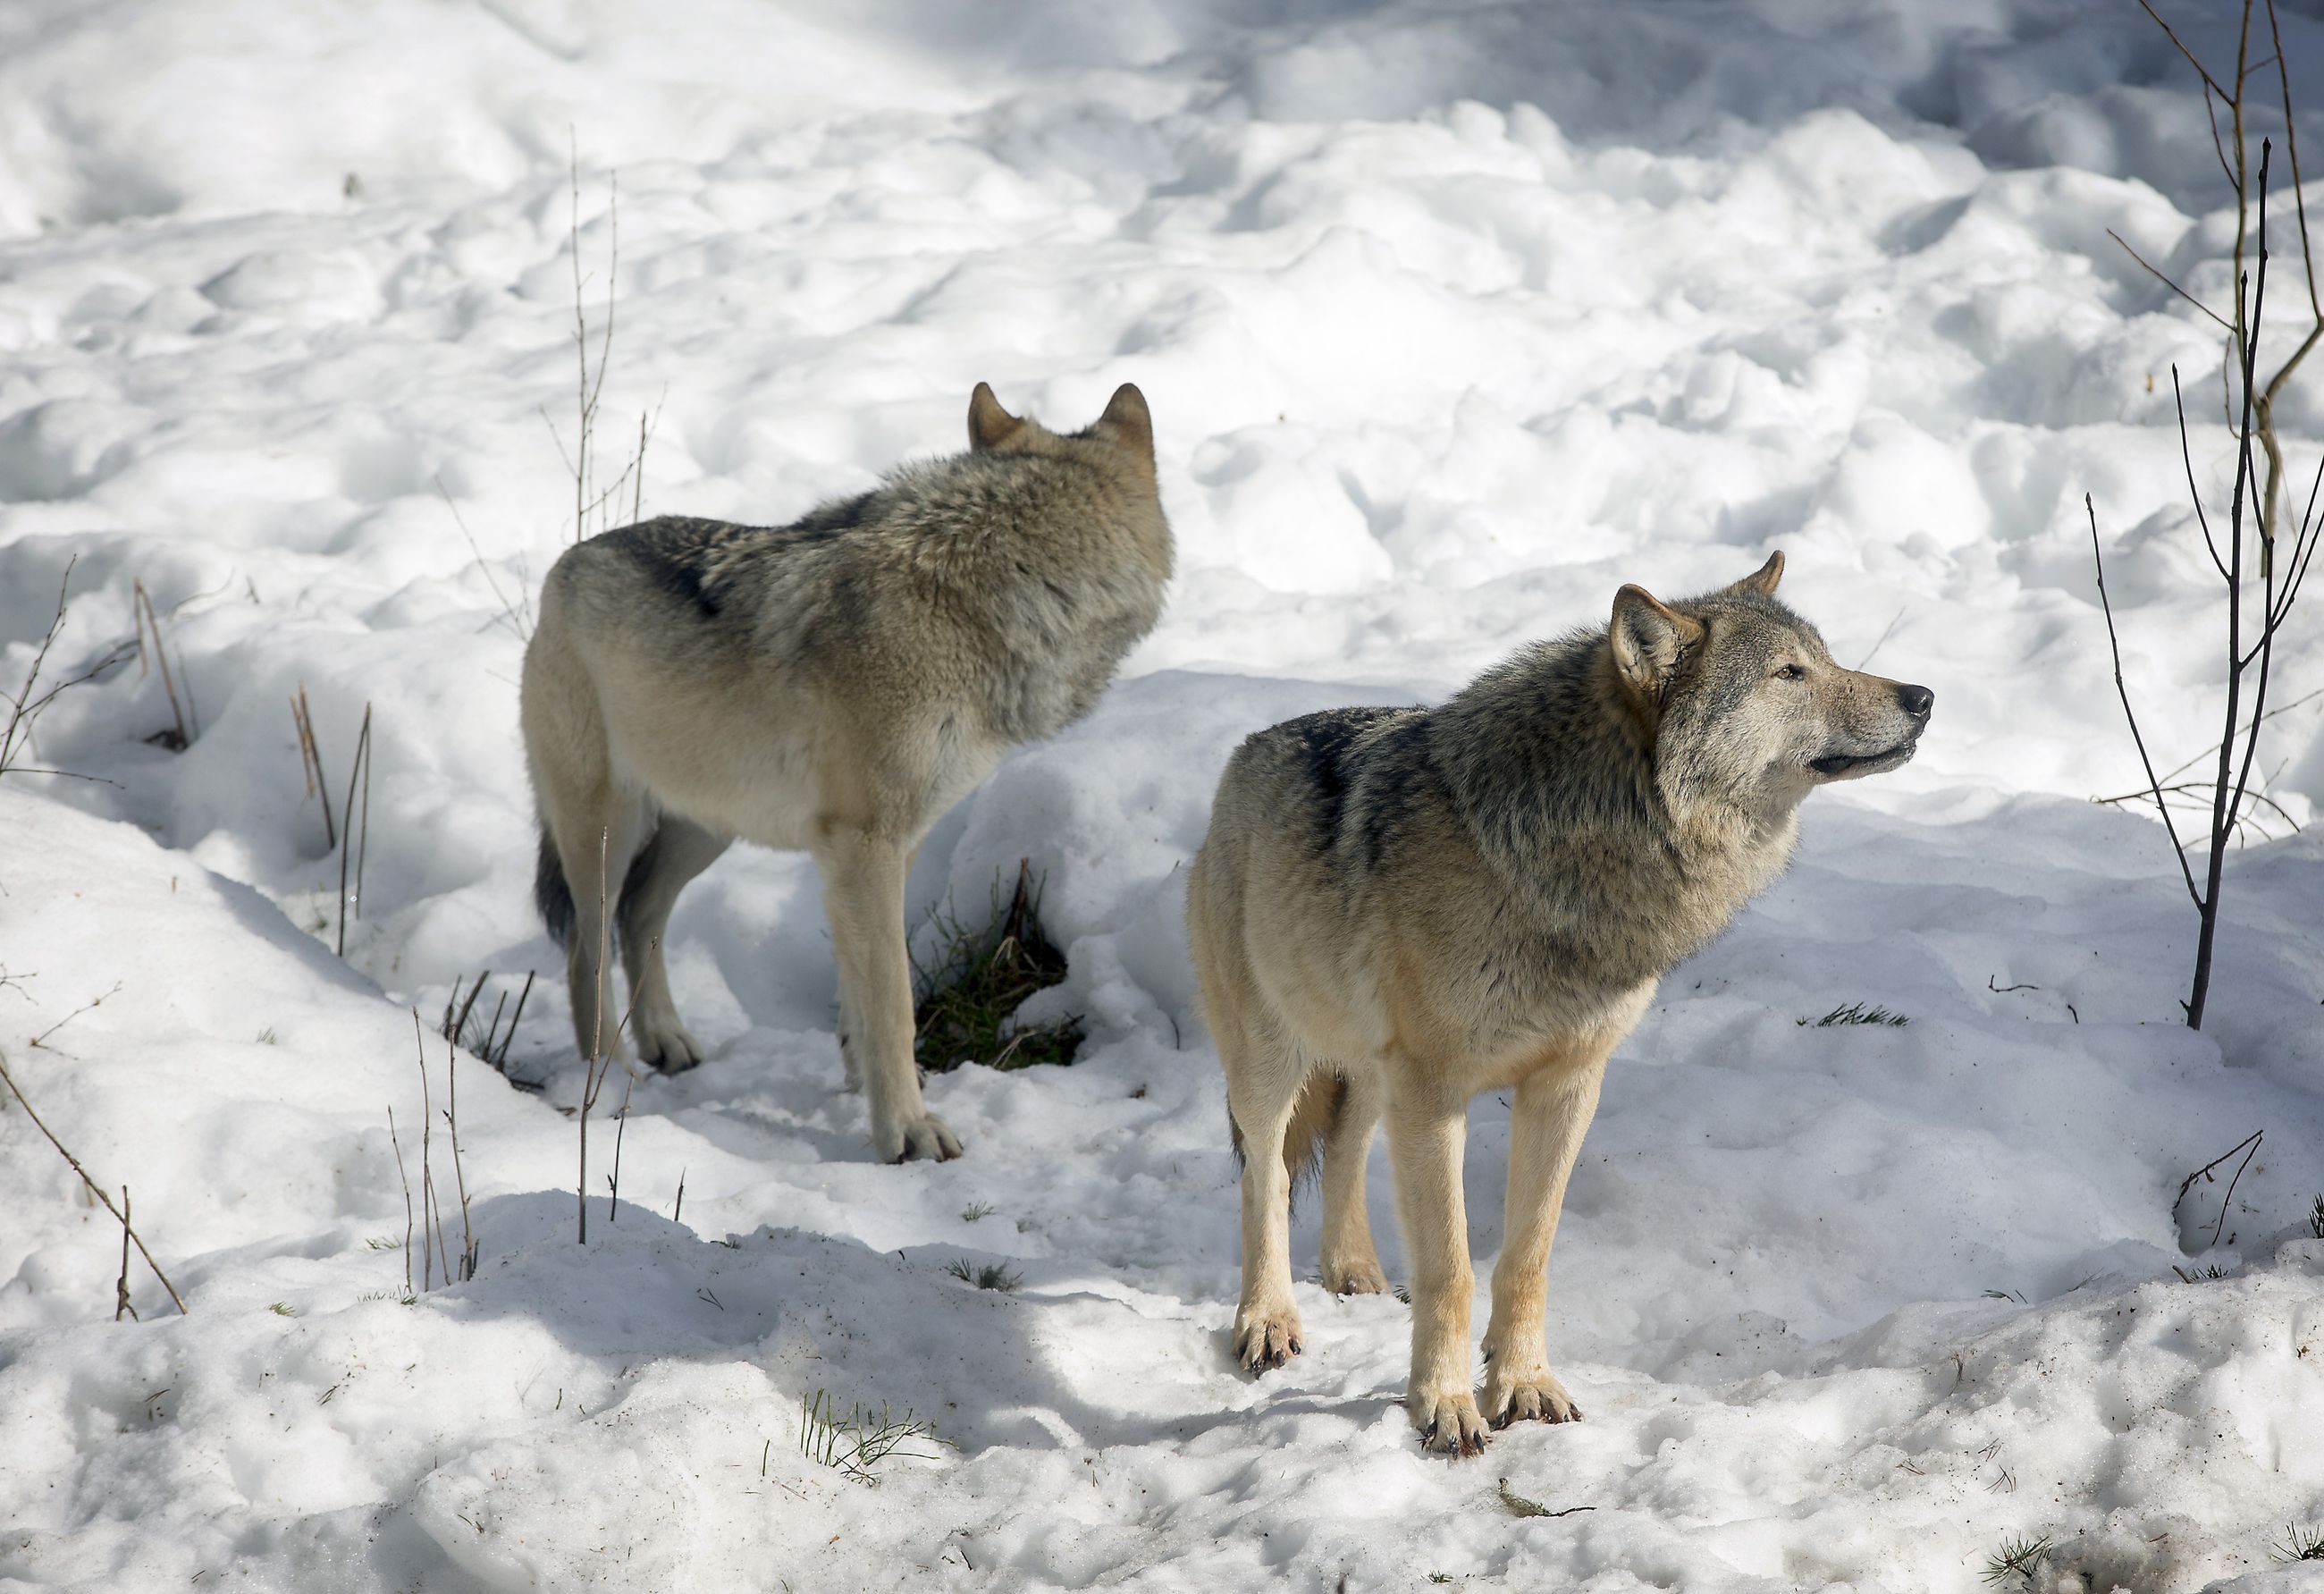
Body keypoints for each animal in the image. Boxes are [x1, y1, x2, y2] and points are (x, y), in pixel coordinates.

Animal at [529, 388, 1180, 1161]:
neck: (977, 598)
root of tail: (565, 565)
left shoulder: (889, 844)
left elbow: (861, 994)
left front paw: (861, 1084)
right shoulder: (864, 844)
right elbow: (894, 1003)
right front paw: (908, 1130)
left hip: (706, 830)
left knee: (640, 914)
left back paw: (666, 1041)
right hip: (608, 831)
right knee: (584, 948)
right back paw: (610, 1082)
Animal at [1190, 552, 1933, 1459]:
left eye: (1826, 659)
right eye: (1790, 674)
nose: (1923, 697)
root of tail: (1245, 751)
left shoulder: (1568, 1083)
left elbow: (1527, 1258)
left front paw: (1525, 1386)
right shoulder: (1434, 1095)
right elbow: (1451, 1269)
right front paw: (1445, 1406)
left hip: (1368, 1071)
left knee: (1348, 1144)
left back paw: (1354, 1274)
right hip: (1272, 1062)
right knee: (1263, 1177)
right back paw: (1268, 1320)